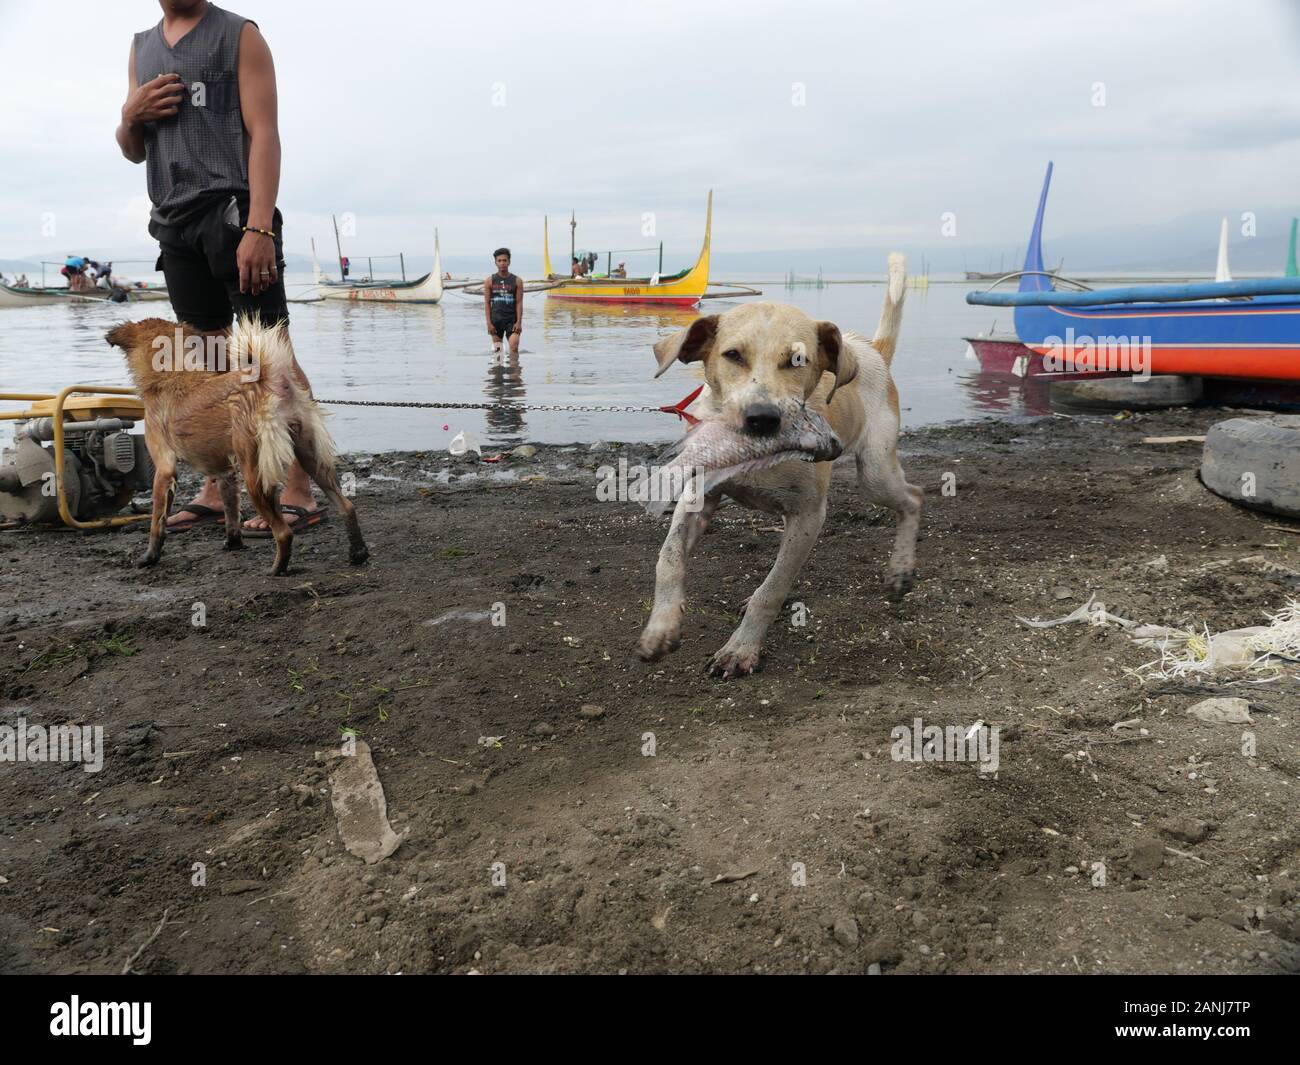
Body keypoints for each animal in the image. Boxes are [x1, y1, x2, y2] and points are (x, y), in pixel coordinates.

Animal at [104, 314, 371, 574]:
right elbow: (231, 512)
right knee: (347, 506)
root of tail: (272, 381)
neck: (171, 374)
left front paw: (150, 557)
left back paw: (277, 569)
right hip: (311, 457)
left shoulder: (164, 470)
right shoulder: (226, 473)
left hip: (255, 473)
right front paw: (233, 543)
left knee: (284, 532)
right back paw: (357, 552)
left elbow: (157, 522)